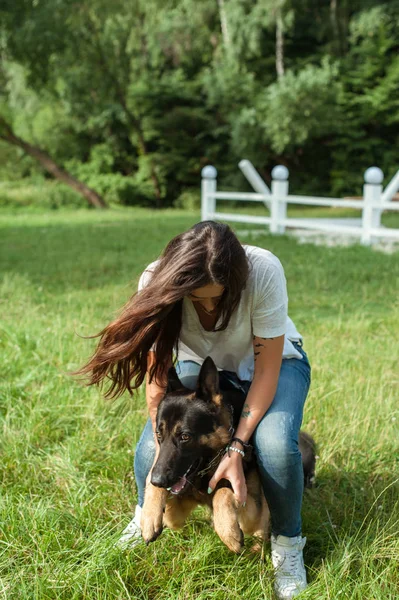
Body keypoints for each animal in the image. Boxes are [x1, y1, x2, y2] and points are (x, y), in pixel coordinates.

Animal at [141, 356, 316, 552]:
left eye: (185, 436)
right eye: (158, 434)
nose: (158, 480)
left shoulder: (251, 513)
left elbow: (223, 491)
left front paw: (228, 532)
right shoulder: (176, 512)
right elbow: (166, 507)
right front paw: (149, 516)